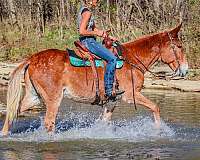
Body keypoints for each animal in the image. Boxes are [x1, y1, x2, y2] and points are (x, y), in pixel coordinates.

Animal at [1, 23, 188, 135]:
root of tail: (31, 59)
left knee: (12, 114)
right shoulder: (131, 95)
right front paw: (158, 131)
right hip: (53, 99)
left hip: (34, 97)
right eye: (179, 46)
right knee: (49, 123)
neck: (132, 60)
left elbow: (105, 122)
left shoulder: (112, 101)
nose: (186, 70)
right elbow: (155, 107)